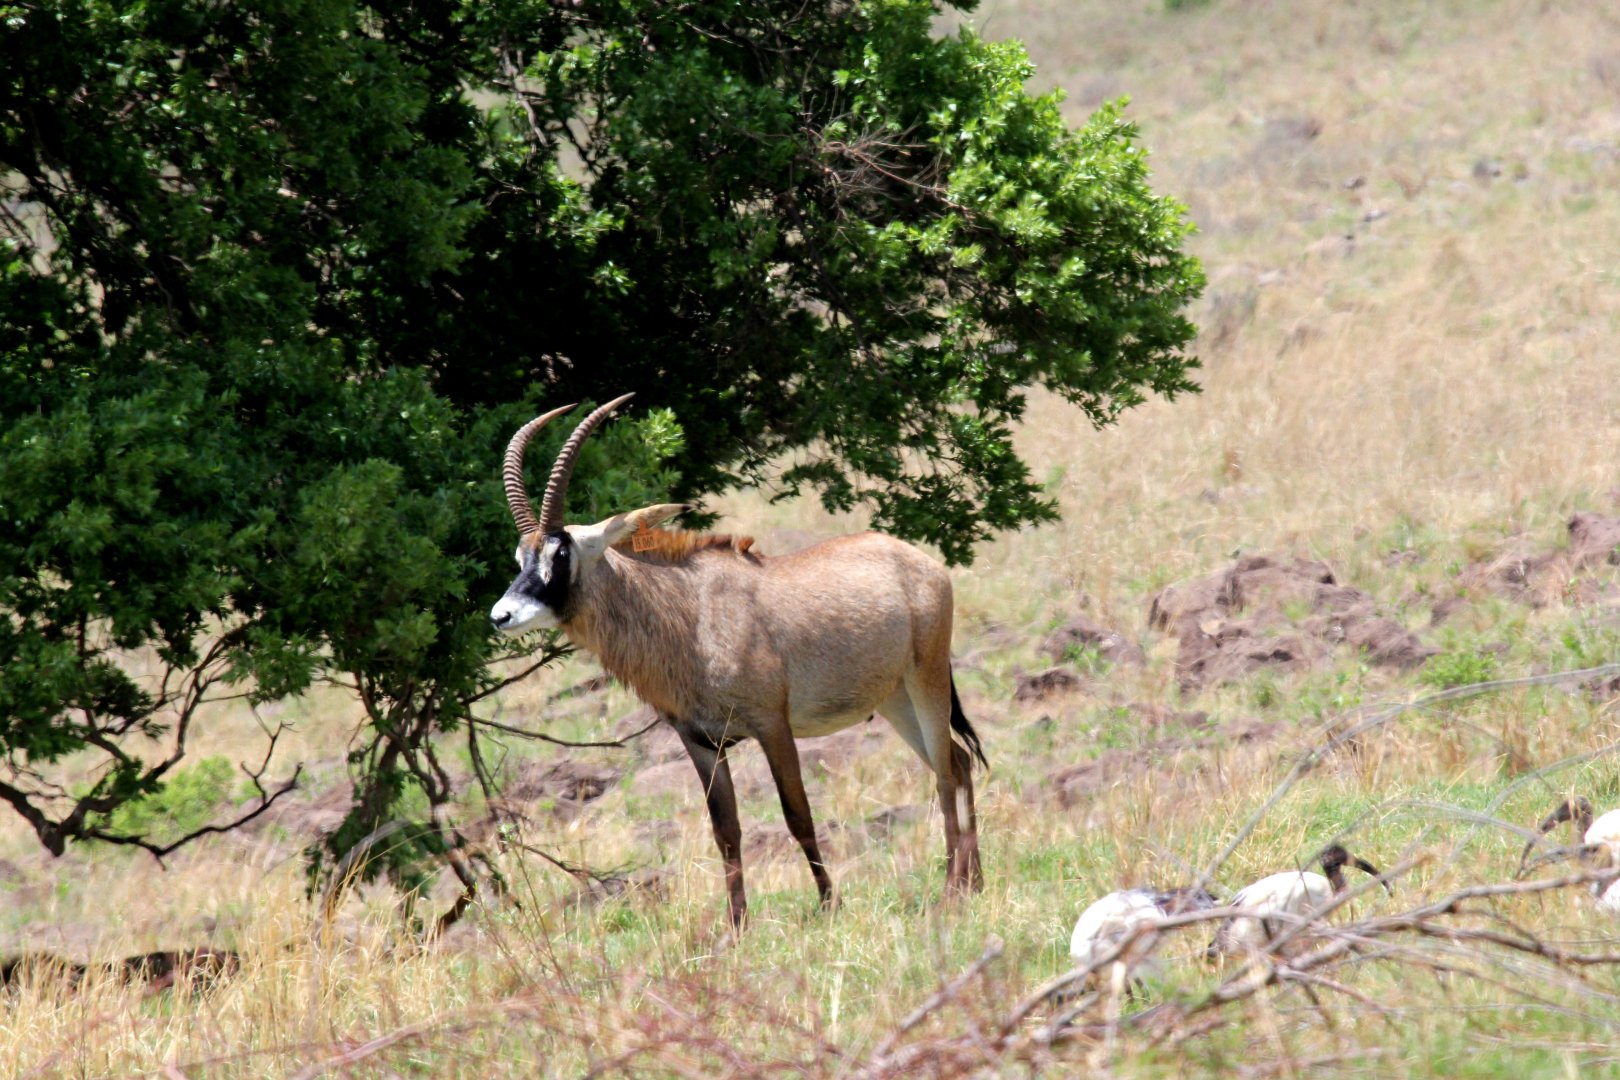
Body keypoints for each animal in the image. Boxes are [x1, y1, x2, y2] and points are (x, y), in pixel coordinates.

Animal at [489, 395, 987, 928]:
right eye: (520, 556)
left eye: (561, 554)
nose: (501, 615)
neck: (689, 614)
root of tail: (920, 562)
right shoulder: (702, 743)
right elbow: (726, 833)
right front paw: (736, 928)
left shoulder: (773, 726)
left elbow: (798, 815)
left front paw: (828, 905)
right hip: (895, 699)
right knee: (957, 760)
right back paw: (973, 883)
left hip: (926, 678)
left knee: (947, 771)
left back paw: (952, 891)